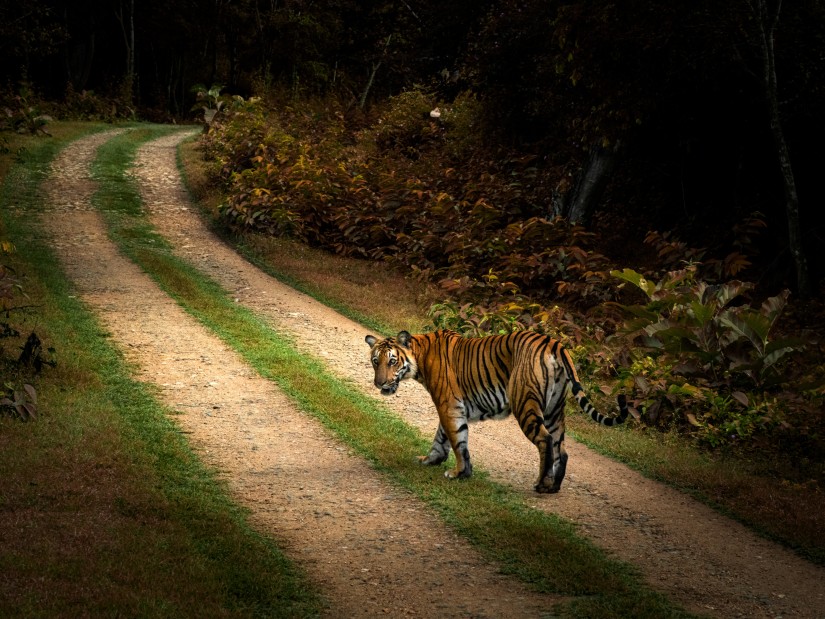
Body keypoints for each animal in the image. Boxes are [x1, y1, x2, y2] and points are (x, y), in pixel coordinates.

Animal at [364, 330, 628, 494]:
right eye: (376, 361)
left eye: (392, 361)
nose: (379, 384)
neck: (420, 355)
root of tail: (554, 343)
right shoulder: (451, 406)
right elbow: (442, 438)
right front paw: (431, 460)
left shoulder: (449, 405)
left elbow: (457, 441)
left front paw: (459, 472)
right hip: (555, 410)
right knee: (561, 448)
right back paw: (554, 486)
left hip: (526, 403)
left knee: (545, 440)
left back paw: (541, 485)